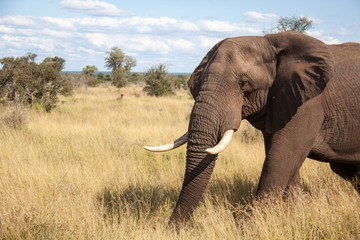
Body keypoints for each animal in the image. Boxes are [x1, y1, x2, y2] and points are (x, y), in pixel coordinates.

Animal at [143, 31, 360, 229]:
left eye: (244, 83)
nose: (170, 229)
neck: (269, 41)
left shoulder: (308, 104)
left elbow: (280, 159)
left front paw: (250, 226)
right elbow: (283, 159)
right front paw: (295, 212)